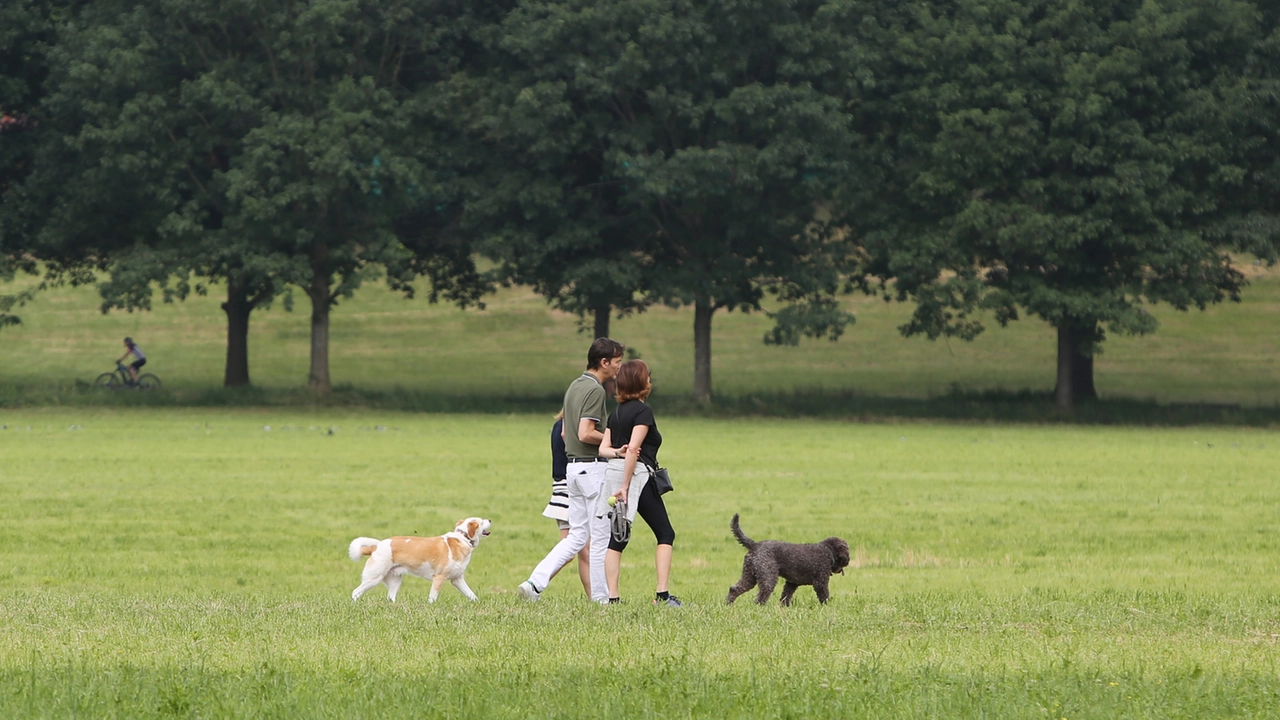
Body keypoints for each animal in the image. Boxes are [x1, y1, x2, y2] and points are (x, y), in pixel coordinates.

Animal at [348, 515, 491, 599]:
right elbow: (432, 598)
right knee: (356, 592)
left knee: (390, 598)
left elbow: (472, 595)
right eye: (481, 521)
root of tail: (375, 547)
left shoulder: (457, 579)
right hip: (374, 578)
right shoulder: (439, 578)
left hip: (395, 581)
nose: (490, 520)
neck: (462, 538)